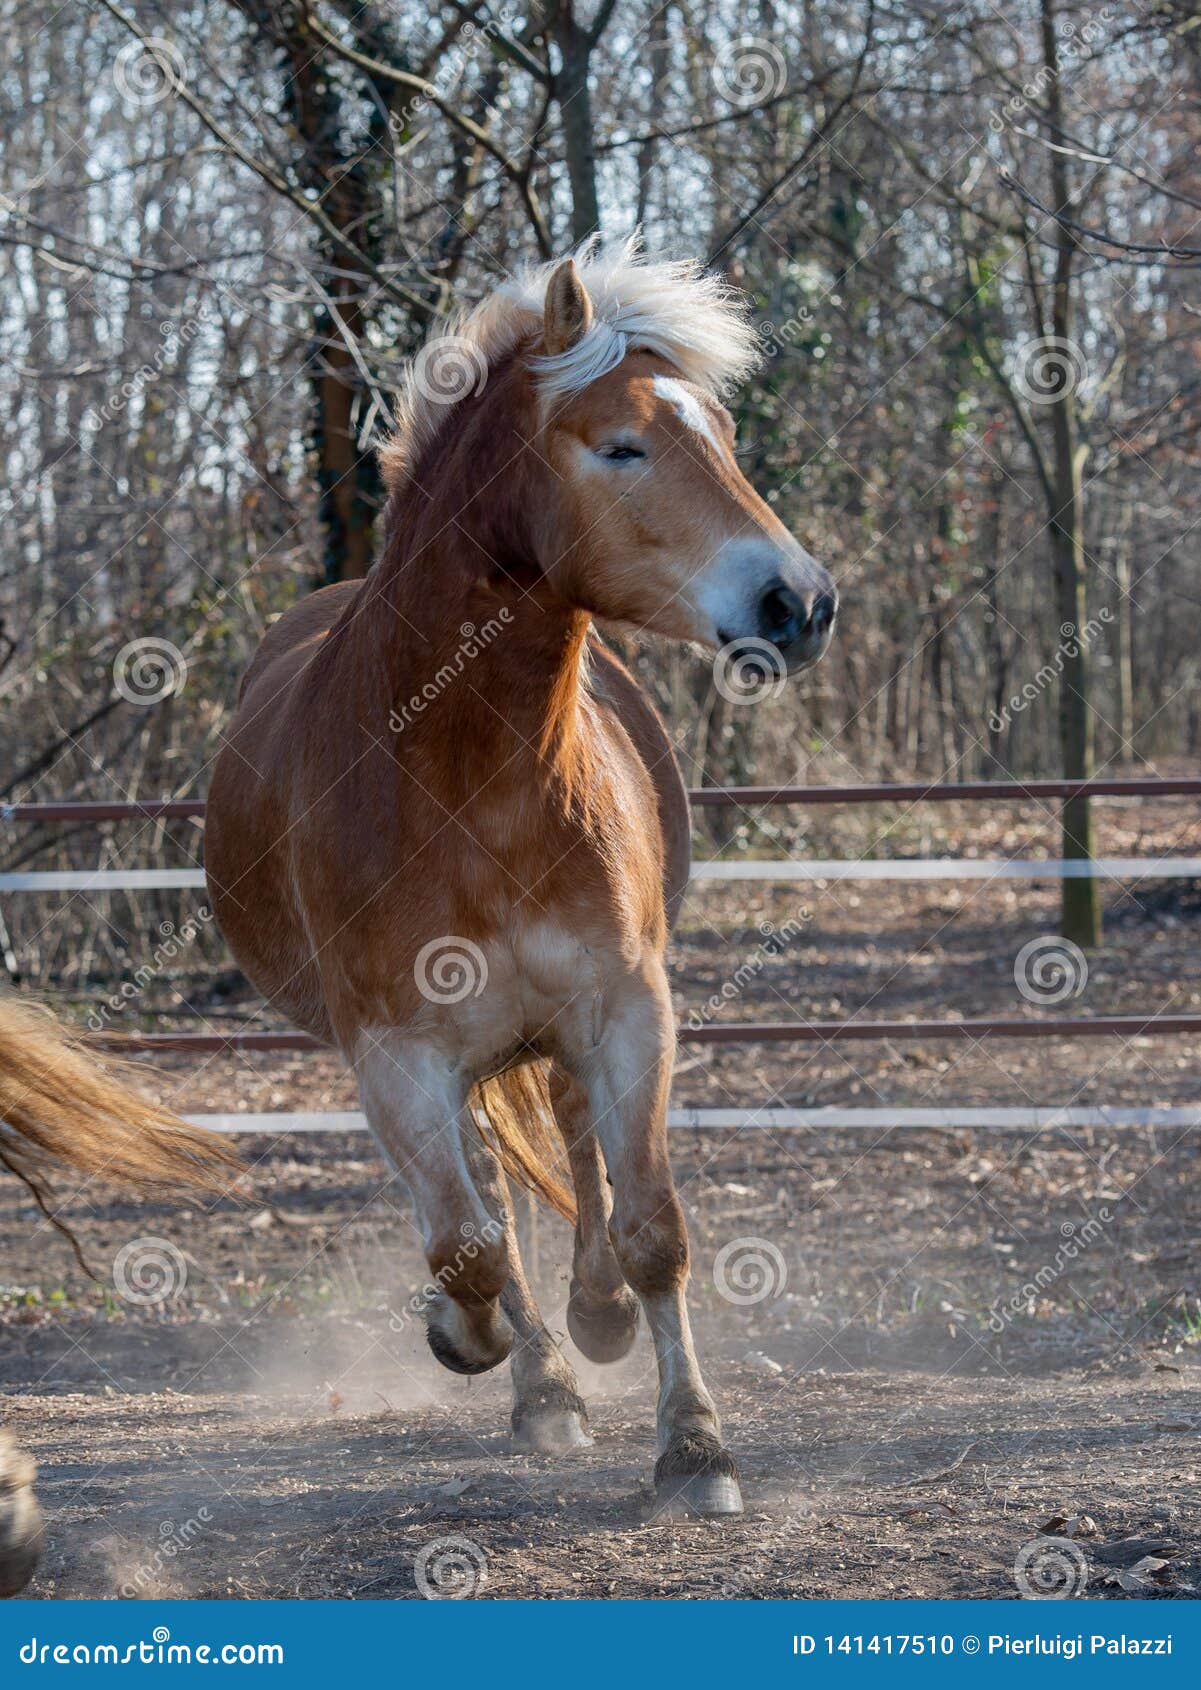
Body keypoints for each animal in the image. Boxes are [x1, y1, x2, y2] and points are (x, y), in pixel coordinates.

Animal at [206, 241, 841, 1521]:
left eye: (724, 434)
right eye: (622, 445)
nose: (797, 603)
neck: (463, 777)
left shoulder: (627, 1006)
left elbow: (651, 1226)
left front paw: (694, 1447)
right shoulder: (396, 1053)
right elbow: (469, 1239)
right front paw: (468, 1336)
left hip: (555, 1034)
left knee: (572, 1159)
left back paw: (588, 1327)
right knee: (486, 1197)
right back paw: (533, 1377)